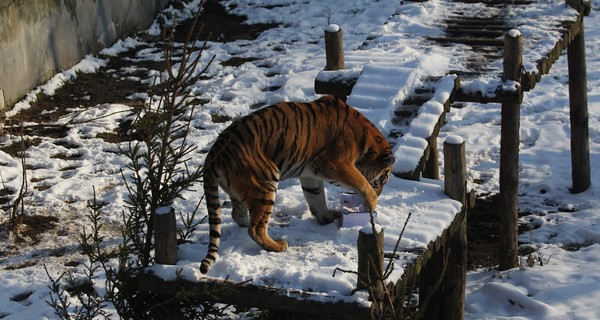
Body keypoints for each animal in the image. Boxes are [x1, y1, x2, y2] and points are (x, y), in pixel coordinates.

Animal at [200, 94, 394, 272]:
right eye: (382, 180)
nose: (380, 193)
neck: (366, 138)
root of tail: (214, 152)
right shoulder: (335, 164)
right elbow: (360, 182)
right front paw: (372, 201)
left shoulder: (311, 174)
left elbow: (316, 198)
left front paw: (327, 218)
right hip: (266, 183)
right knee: (255, 229)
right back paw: (278, 246)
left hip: (241, 190)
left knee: (238, 215)